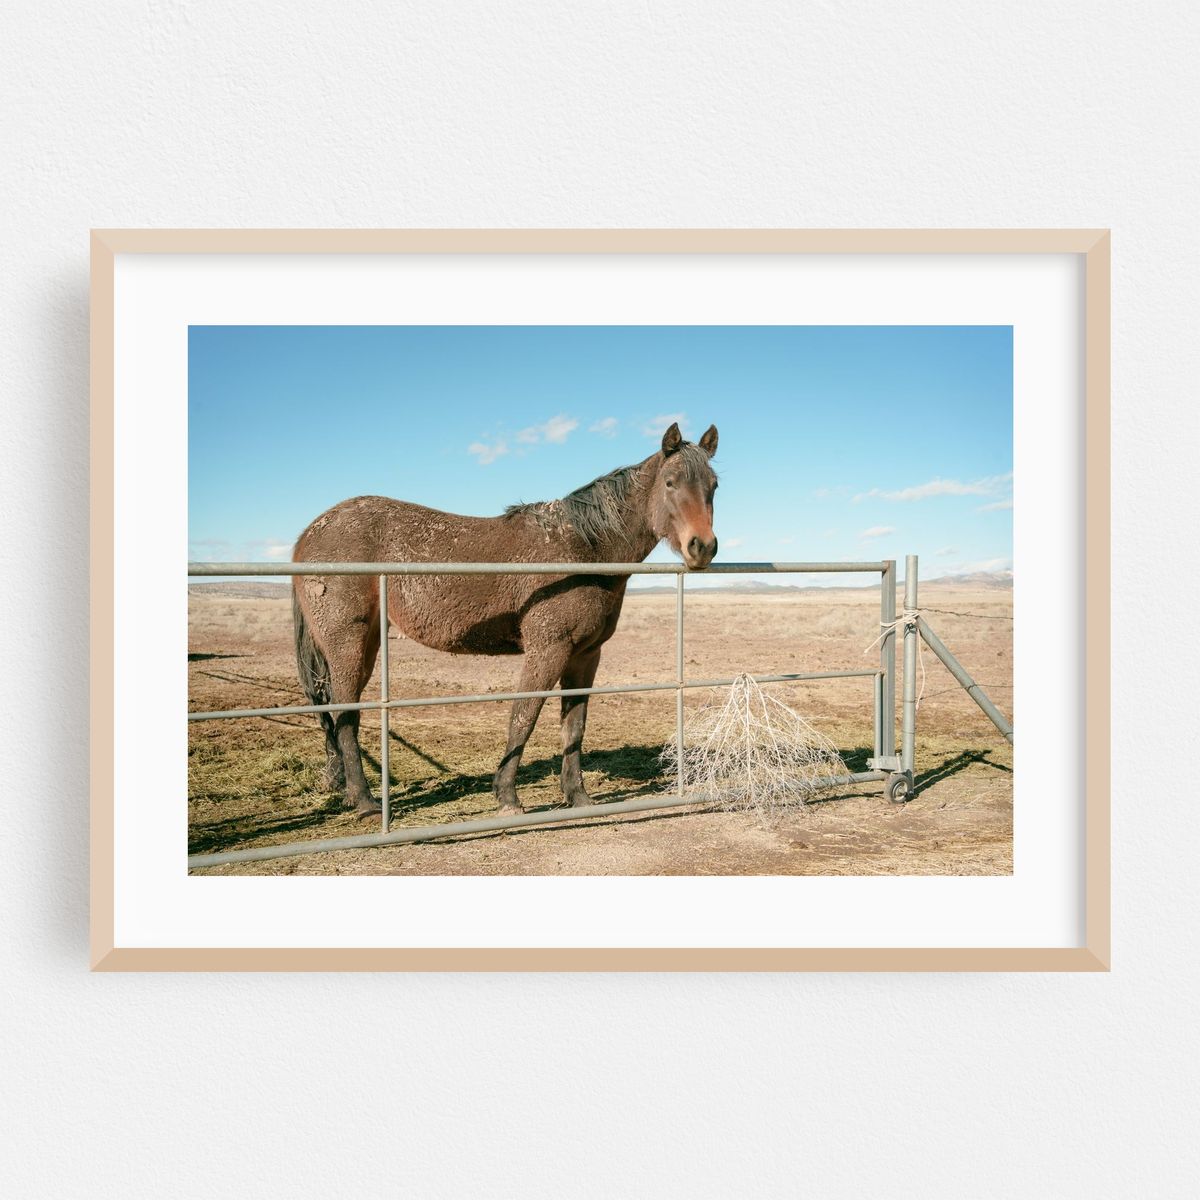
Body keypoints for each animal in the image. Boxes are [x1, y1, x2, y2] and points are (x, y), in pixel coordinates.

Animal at [292, 421, 719, 816]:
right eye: (670, 483)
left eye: (714, 485)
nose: (702, 547)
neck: (583, 550)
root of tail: (308, 534)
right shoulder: (548, 650)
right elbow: (523, 716)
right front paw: (508, 797)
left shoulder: (585, 655)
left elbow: (574, 726)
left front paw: (577, 796)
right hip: (347, 643)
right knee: (343, 711)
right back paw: (365, 801)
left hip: (365, 645)